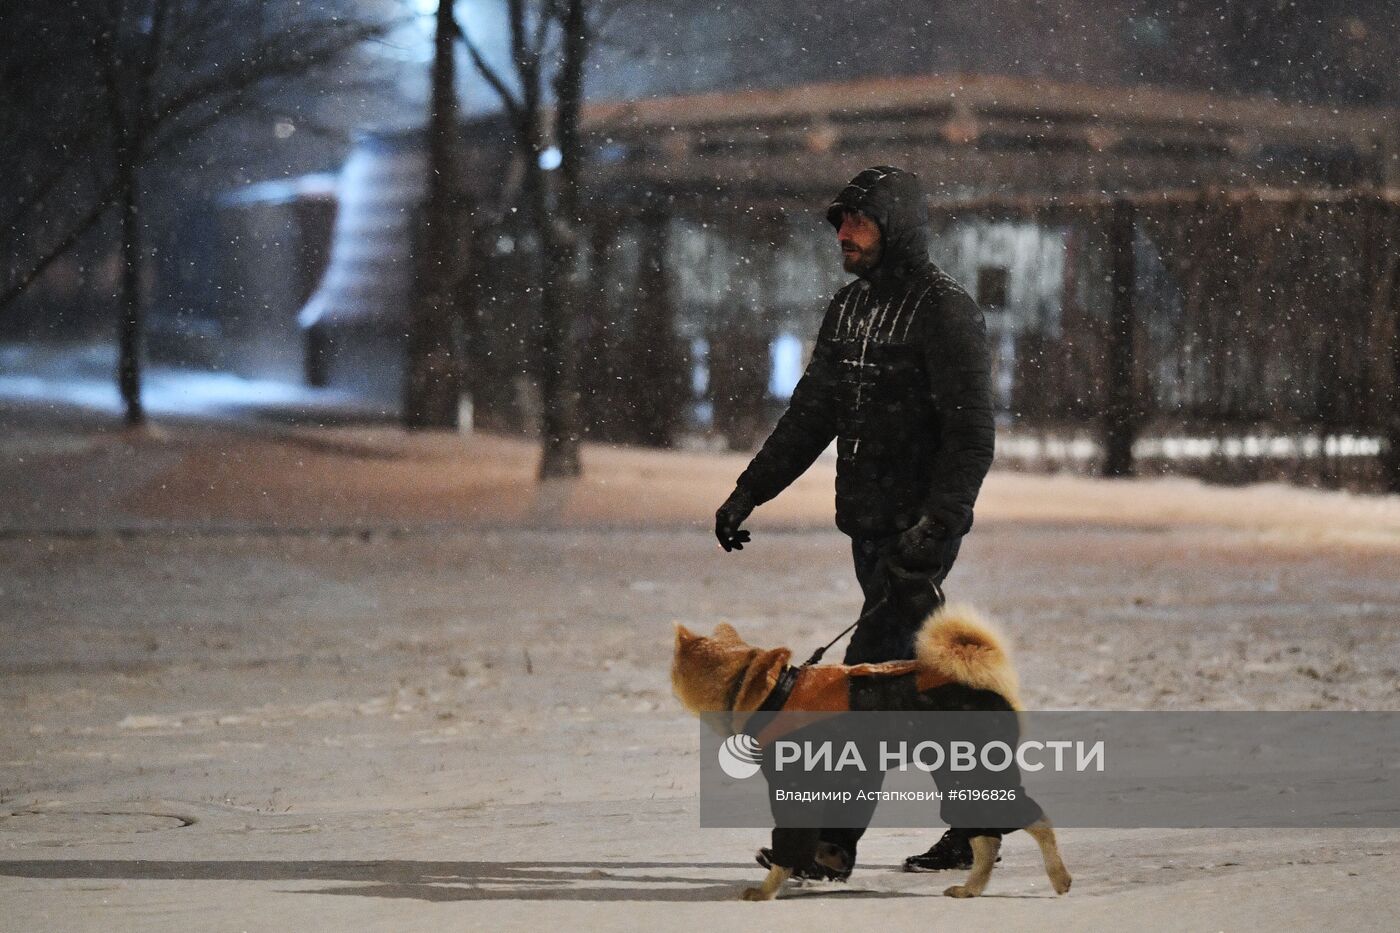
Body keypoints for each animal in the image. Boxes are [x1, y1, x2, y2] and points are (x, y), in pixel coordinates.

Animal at [669, 607, 1069, 896]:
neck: (773, 693)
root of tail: (984, 681)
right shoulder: (841, 780)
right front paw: (828, 859)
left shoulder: (793, 789)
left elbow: (789, 845)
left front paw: (767, 890)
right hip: (960, 780)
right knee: (987, 838)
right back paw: (969, 889)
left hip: (976, 774)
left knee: (1036, 824)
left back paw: (1058, 877)